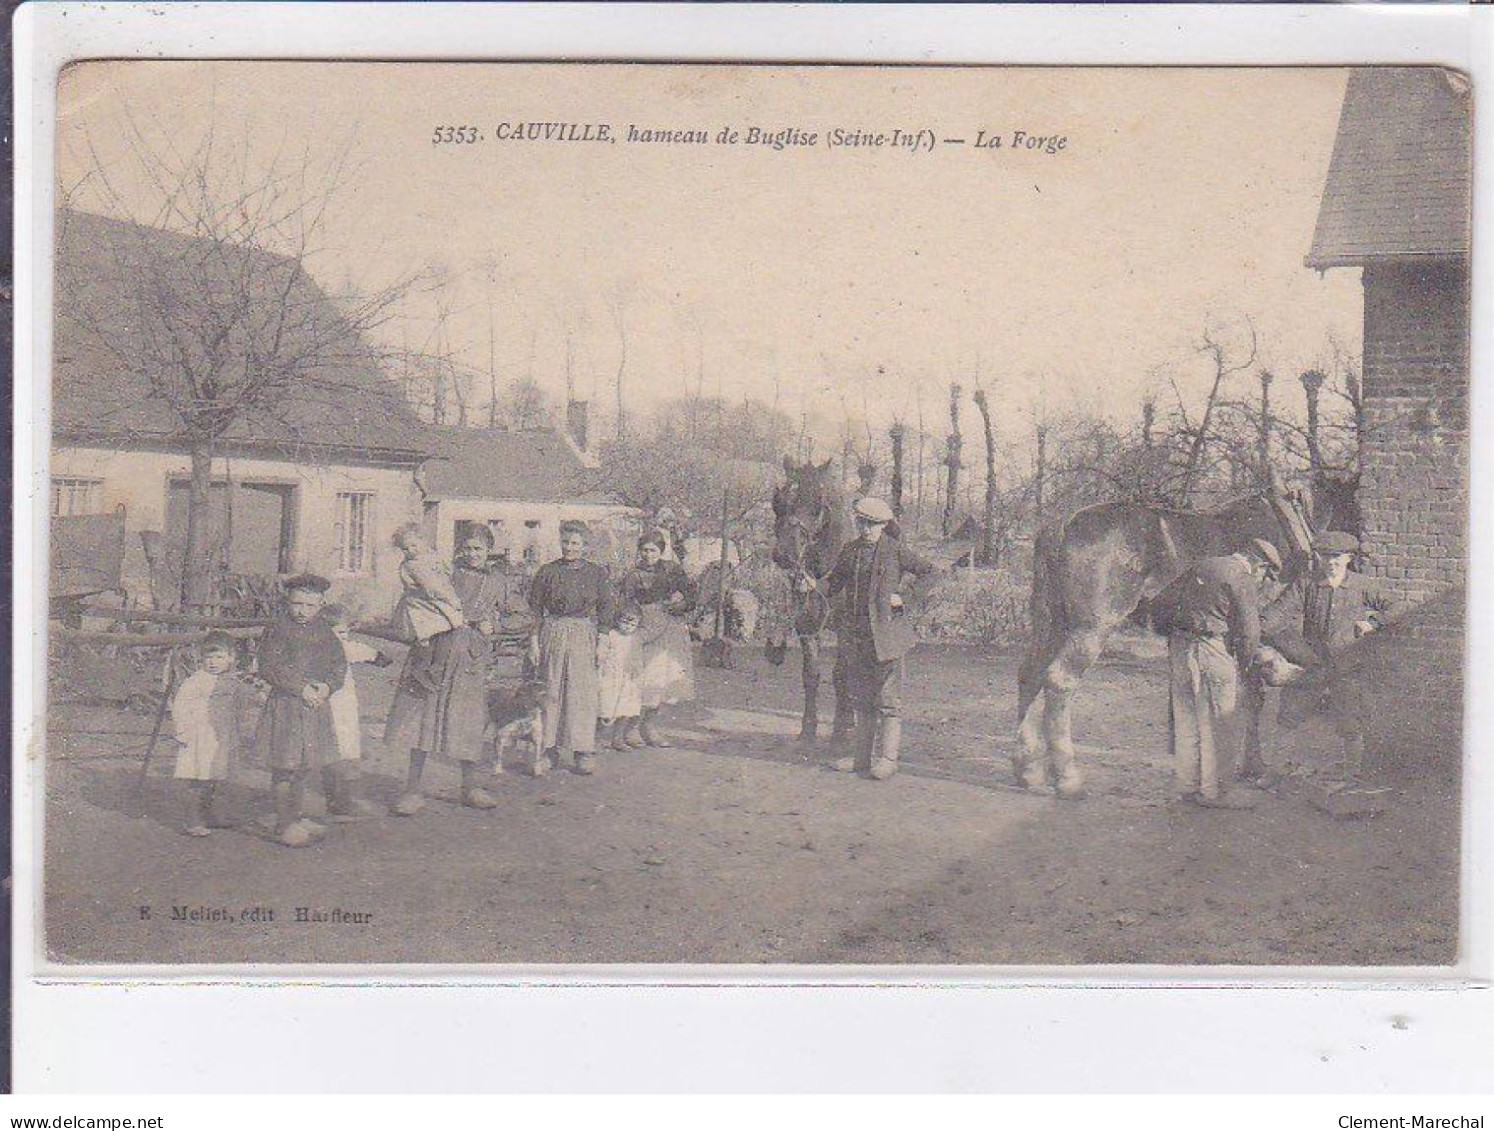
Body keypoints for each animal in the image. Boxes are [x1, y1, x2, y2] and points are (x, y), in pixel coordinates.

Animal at [770, 454, 854, 747]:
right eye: (778, 502)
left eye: (818, 503)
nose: (784, 554)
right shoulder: (806, 625)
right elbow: (811, 674)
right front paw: (808, 729)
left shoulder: (846, 627)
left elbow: (841, 675)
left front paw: (840, 731)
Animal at [1009, 481, 1326, 800]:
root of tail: (1062, 526)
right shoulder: (1263, 625)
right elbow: (1260, 690)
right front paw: (1255, 764)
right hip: (1091, 629)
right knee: (1059, 682)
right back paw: (1068, 779)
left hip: (1052, 625)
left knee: (1030, 677)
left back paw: (1029, 771)